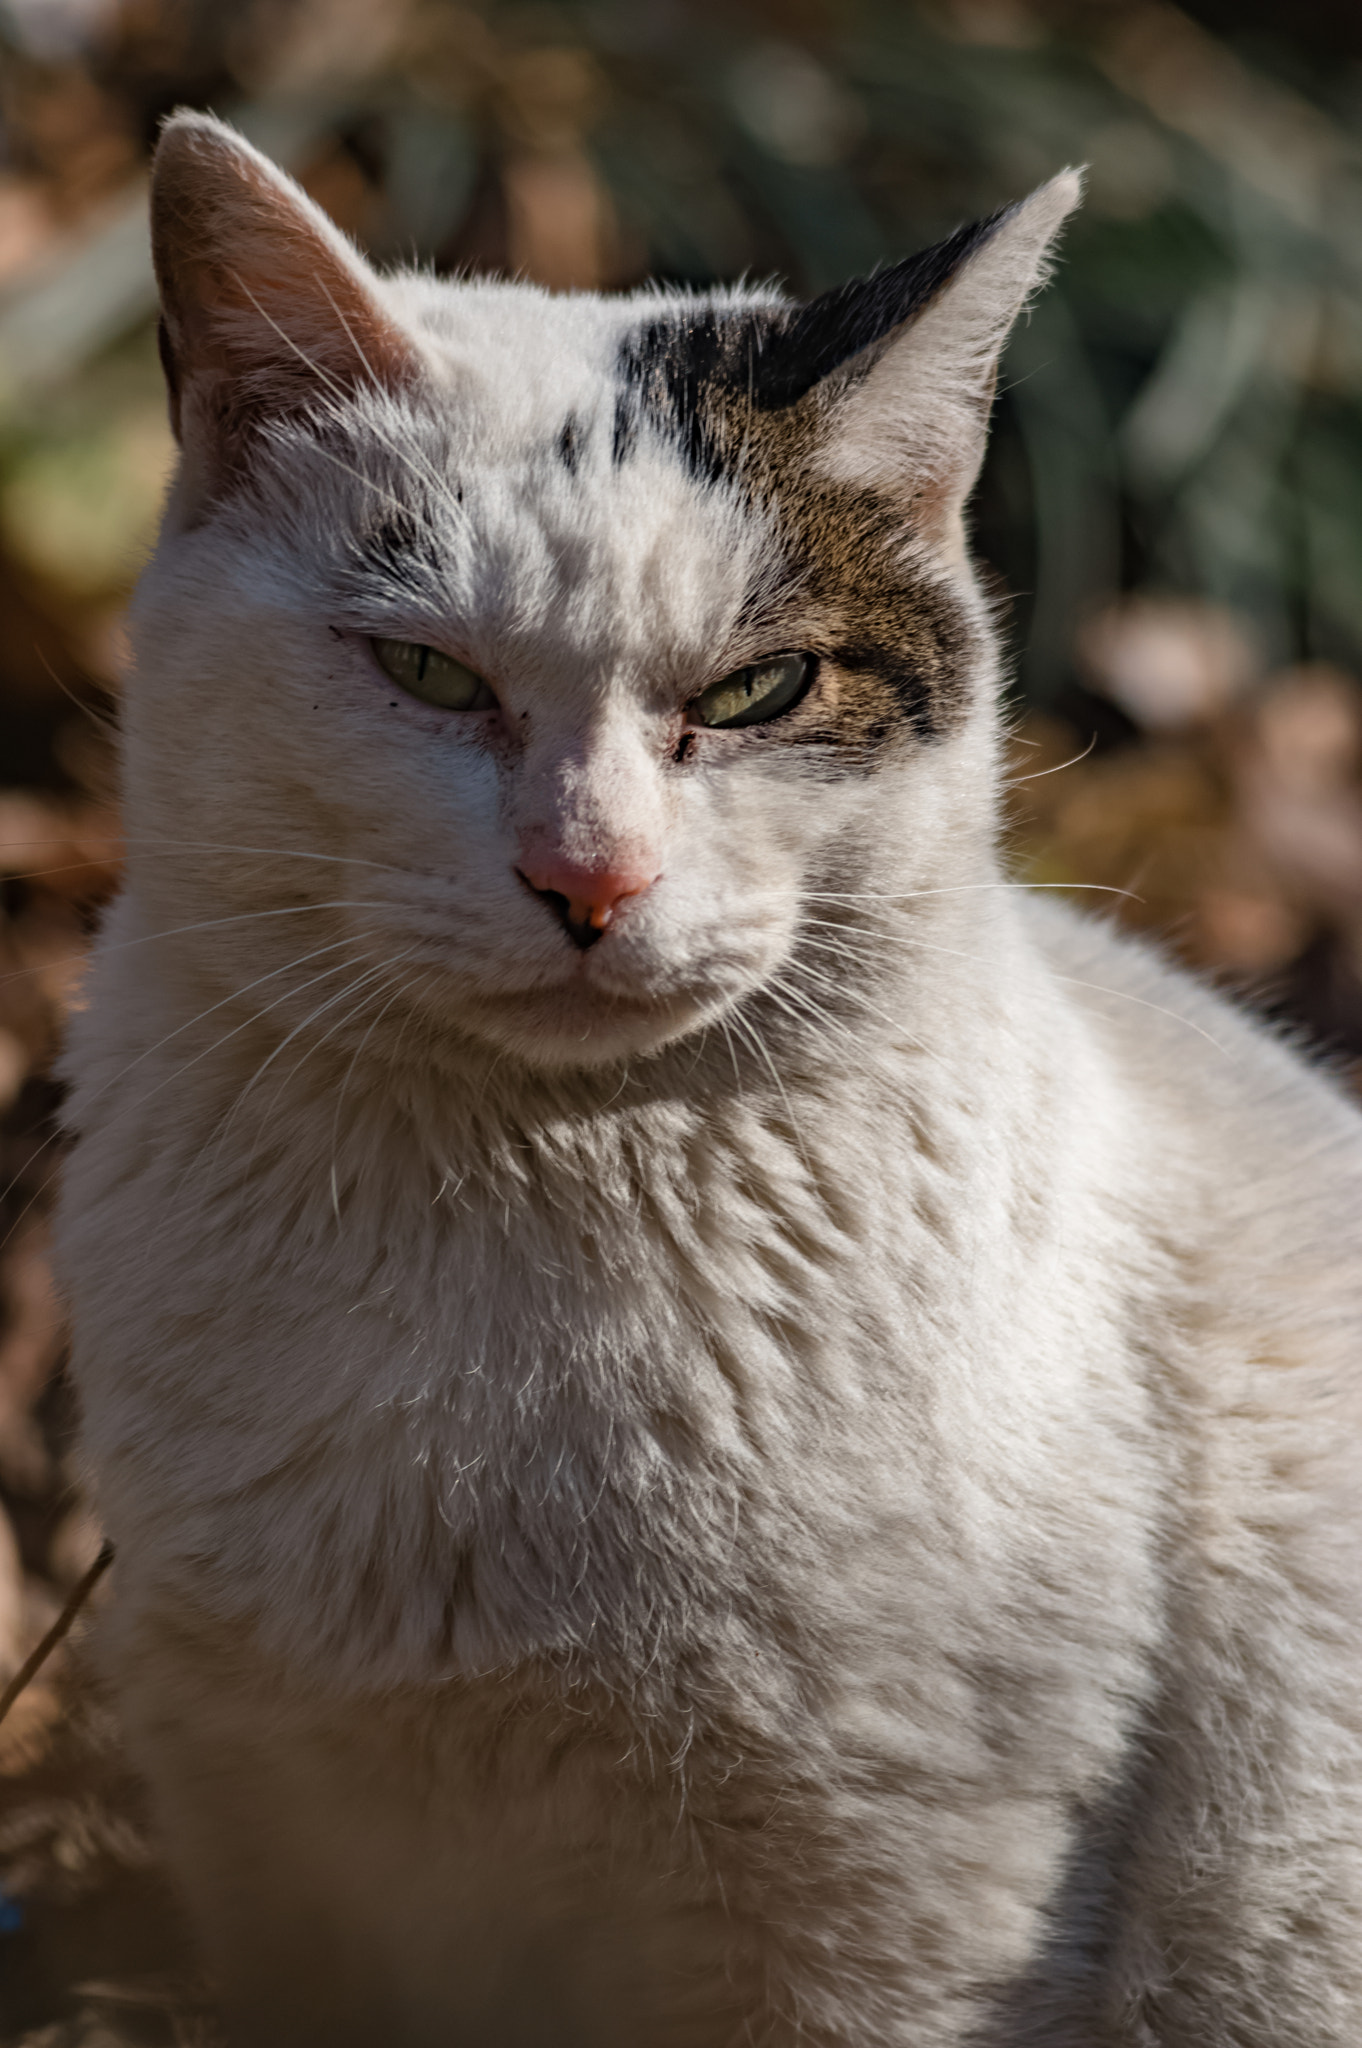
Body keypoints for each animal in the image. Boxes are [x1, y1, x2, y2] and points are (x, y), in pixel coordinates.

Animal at [47, 116, 1359, 2048]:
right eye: (427, 670)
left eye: (755, 692)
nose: (588, 877)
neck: (514, 1225)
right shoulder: (279, 1862)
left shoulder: (908, 1918)